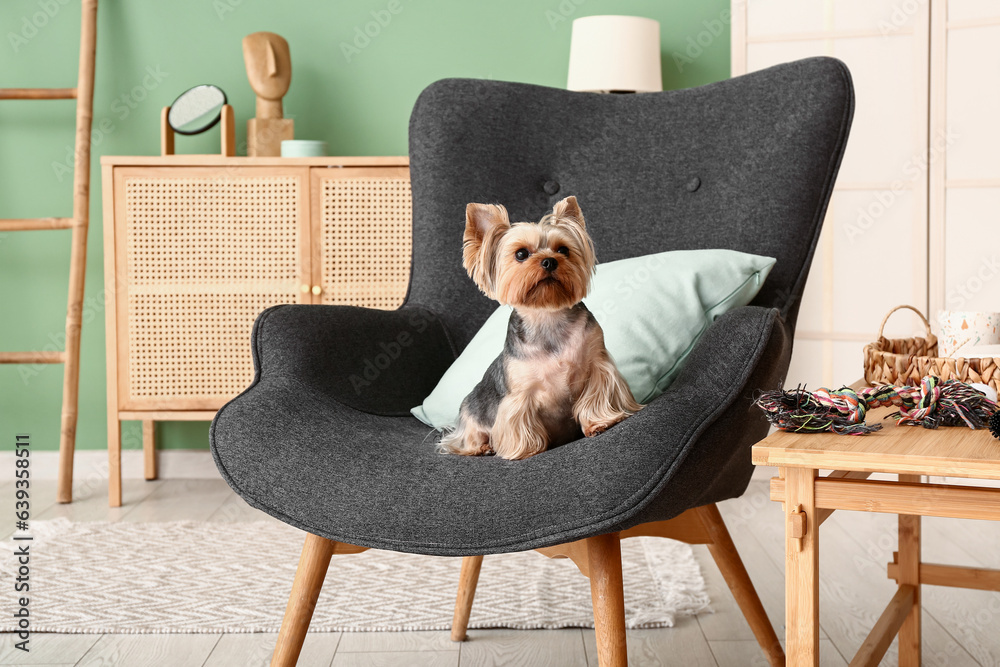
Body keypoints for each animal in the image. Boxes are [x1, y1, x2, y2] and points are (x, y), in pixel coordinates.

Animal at [438, 196, 640, 462]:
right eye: (521, 254)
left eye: (563, 250)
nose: (549, 260)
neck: (547, 316)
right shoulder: (519, 394)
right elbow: (519, 420)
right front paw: (526, 450)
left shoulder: (597, 363)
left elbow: (596, 393)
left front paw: (599, 422)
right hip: (471, 415)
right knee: (463, 440)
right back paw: (482, 447)